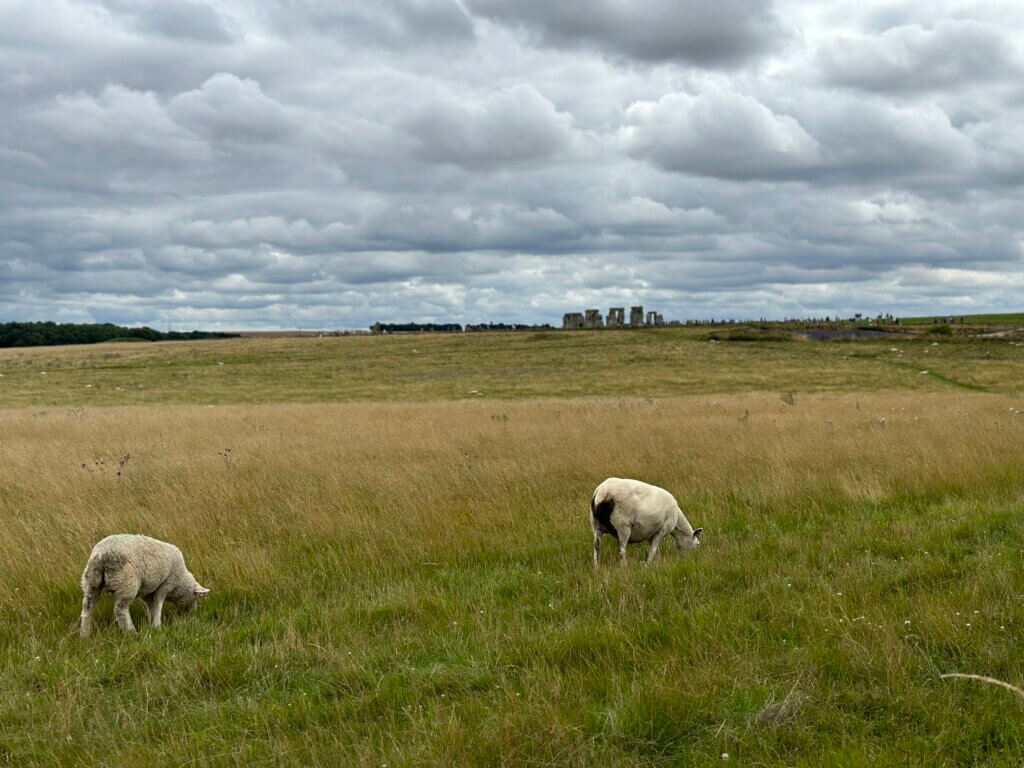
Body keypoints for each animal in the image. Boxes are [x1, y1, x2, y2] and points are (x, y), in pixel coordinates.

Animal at [79, 536, 209, 638]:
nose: (193, 613)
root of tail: (102, 556)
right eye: (198, 597)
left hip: (90, 583)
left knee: (87, 609)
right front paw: (157, 626)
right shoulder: (165, 585)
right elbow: (158, 605)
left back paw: (85, 634)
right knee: (120, 610)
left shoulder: (148, 592)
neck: (180, 581)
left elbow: (151, 607)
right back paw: (131, 632)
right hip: (126, 583)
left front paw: (151, 624)